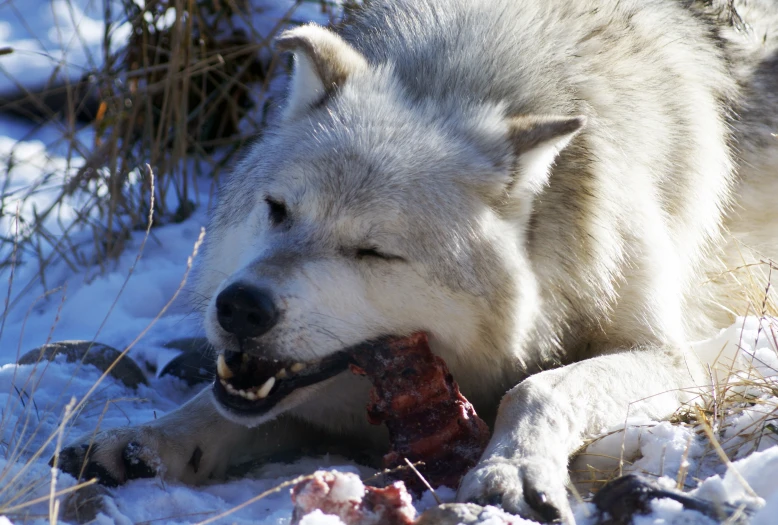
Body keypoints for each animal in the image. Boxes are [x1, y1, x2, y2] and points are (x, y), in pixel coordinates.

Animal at [59, 0, 776, 520]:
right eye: (278, 209)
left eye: (373, 250)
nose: (240, 307)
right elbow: (216, 405)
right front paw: (147, 442)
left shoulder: (673, 358)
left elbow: (539, 386)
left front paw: (511, 467)